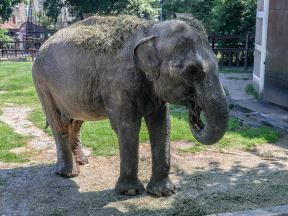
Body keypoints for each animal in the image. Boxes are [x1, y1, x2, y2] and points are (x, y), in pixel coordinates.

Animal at [31, 15, 230, 197]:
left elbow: (162, 125)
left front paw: (163, 193)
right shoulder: (119, 81)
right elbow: (127, 125)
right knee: (60, 124)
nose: (196, 118)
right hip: (42, 84)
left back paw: (83, 162)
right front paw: (130, 192)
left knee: (76, 122)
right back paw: (68, 173)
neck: (150, 29)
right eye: (191, 71)